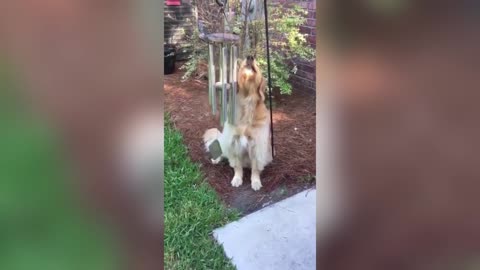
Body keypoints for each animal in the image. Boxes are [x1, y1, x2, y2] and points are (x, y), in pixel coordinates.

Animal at [202, 55, 272, 190]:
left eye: (258, 66)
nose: (250, 56)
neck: (247, 102)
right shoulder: (234, 142)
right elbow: (237, 166)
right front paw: (237, 179)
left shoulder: (257, 146)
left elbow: (255, 168)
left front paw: (255, 181)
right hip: (225, 142)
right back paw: (216, 159)